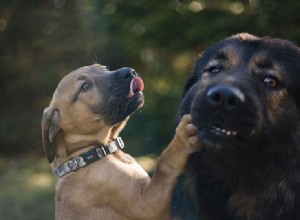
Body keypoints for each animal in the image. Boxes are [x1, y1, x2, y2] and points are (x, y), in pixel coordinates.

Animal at [41, 62, 200, 219]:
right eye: (85, 86)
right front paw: (181, 140)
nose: (130, 72)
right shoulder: (146, 203)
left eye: (104, 68)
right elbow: (164, 164)